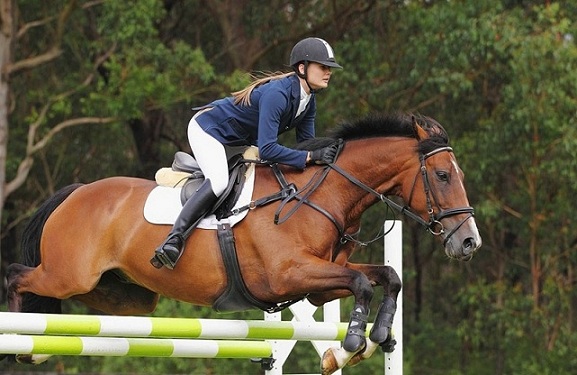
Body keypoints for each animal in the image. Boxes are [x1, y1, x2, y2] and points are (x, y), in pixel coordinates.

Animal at [4, 113, 482, 374]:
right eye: (443, 176)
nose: (469, 242)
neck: (321, 194)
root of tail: (77, 192)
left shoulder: (317, 286)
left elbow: (387, 275)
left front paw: (377, 335)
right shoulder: (288, 276)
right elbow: (364, 284)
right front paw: (352, 342)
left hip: (125, 297)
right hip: (67, 274)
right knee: (16, 276)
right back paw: (21, 345)